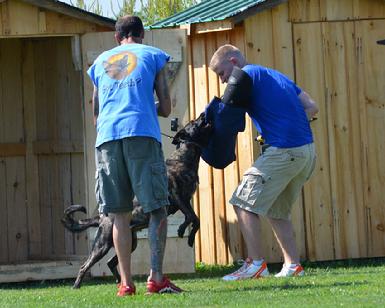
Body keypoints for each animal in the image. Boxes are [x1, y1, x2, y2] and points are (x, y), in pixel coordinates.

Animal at [62, 113, 213, 288]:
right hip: (102, 244)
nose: (203, 114)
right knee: (84, 266)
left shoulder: (185, 200)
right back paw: (76, 286)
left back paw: (120, 282)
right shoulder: (178, 197)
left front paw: (189, 237)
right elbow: (192, 217)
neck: (184, 157)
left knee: (110, 262)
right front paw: (183, 230)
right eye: (194, 122)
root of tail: (101, 218)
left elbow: (195, 219)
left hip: (129, 242)